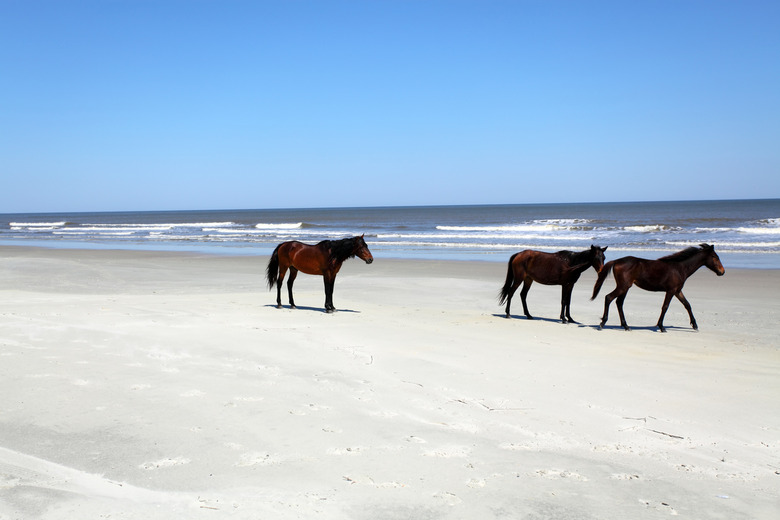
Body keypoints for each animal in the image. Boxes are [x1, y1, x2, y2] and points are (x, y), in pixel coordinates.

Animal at [592, 242, 724, 332]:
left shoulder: (678, 291)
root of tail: (616, 261)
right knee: (609, 298)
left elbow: (687, 305)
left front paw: (695, 325)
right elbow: (665, 307)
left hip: (625, 287)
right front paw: (661, 327)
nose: (722, 272)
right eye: (715, 257)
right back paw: (602, 324)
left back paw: (626, 326)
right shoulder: (671, 291)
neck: (679, 268)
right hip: (623, 287)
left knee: (619, 303)